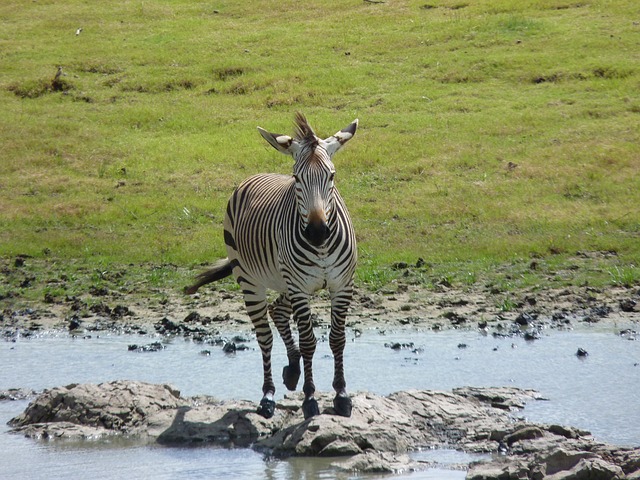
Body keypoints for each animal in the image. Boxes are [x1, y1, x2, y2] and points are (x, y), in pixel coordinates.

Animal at [185, 113, 358, 420]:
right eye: (297, 178)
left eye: (332, 176)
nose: (317, 232)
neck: (322, 247)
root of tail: (255, 176)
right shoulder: (299, 288)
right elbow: (309, 341)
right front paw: (310, 399)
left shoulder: (341, 285)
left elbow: (337, 338)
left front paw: (341, 395)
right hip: (252, 281)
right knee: (264, 336)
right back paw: (268, 397)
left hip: (285, 281)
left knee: (277, 310)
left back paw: (292, 370)